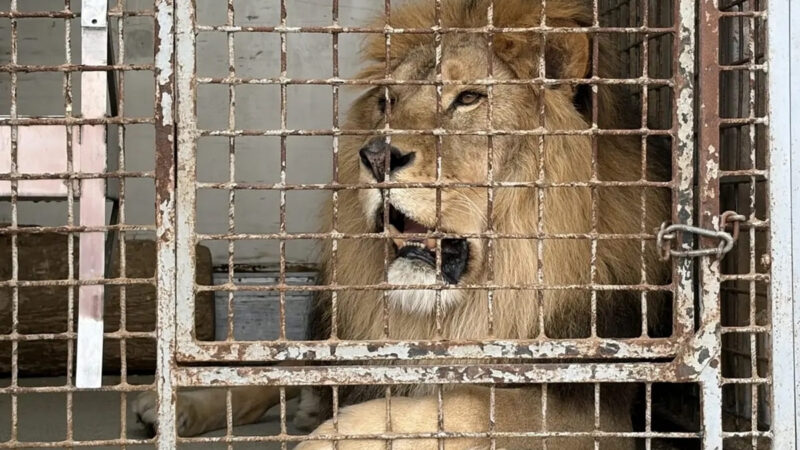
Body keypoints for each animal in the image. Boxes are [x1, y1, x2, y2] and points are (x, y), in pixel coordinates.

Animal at [133, 0, 671, 448]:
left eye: (469, 98)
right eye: (387, 102)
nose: (374, 156)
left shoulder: (600, 405)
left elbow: (464, 404)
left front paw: (333, 434)